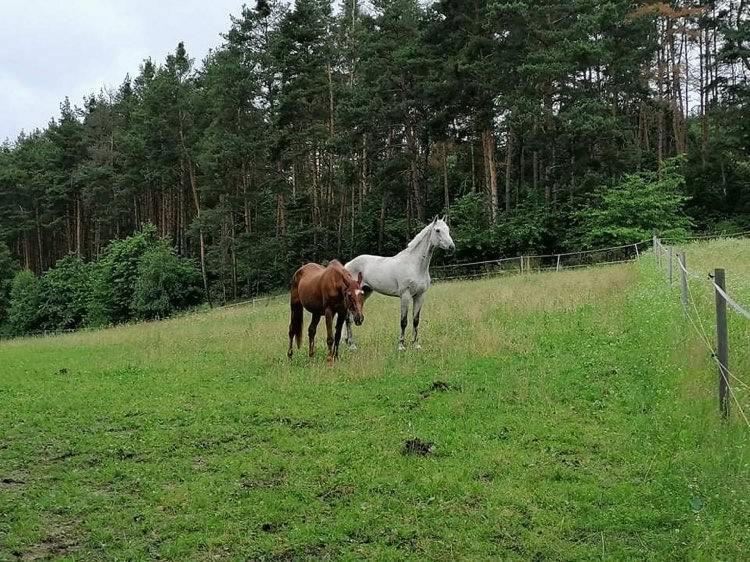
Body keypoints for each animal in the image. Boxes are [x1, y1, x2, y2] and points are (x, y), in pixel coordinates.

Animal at [346, 217, 456, 348]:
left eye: (448, 229)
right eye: (437, 230)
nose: (451, 247)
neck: (415, 265)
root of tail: (347, 265)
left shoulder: (420, 296)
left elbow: (415, 320)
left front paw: (416, 345)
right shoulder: (405, 296)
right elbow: (403, 321)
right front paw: (401, 345)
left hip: (365, 292)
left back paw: (348, 342)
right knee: (348, 318)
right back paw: (351, 345)